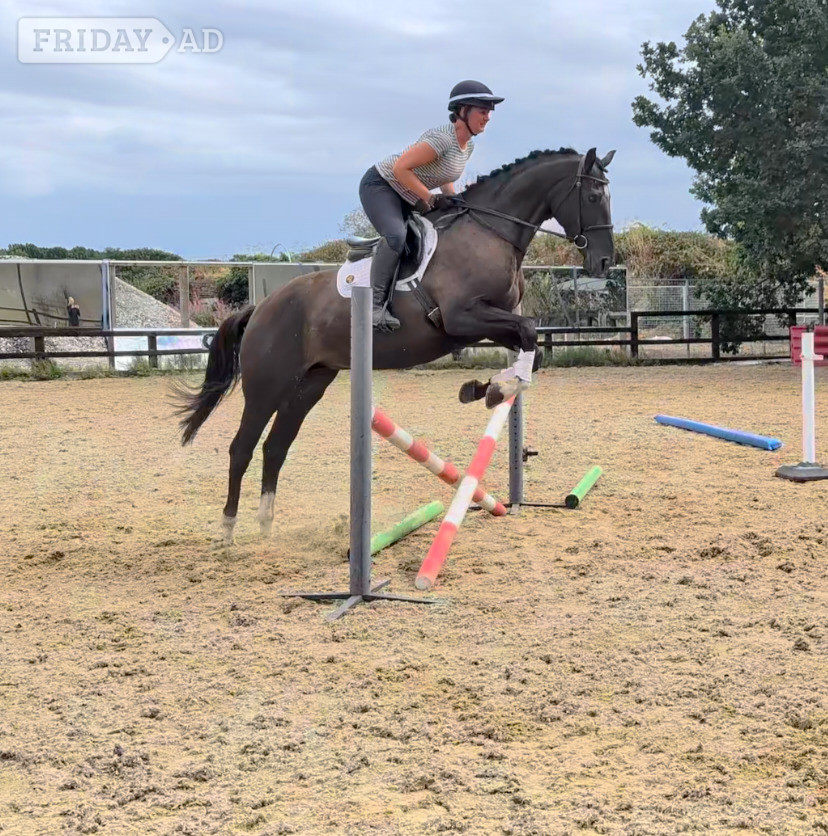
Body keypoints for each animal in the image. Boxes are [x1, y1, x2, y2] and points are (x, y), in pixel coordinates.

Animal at [177, 146, 616, 543]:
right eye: (594, 197)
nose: (604, 263)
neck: (489, 231)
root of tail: (261, 308)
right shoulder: (462, 318)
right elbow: (528, 334)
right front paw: (491, 389)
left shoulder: (485, 324)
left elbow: (532, 348)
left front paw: (486, 387)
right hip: (267, 386)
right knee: (242, 448)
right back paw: (228, 530)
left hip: (309, 384)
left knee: (275, 447)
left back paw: (266, 525)